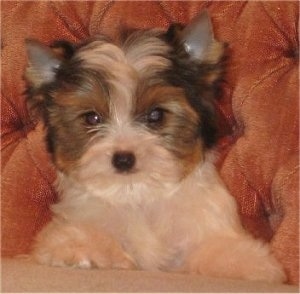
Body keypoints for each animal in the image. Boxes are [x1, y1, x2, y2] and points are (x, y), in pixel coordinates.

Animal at [24, 11, 286, 282]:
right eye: (92, 118)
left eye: (156, 115)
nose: (123, 158)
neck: (138, 194)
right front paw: (81, 249)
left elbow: (212, 249)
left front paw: (248, 264)